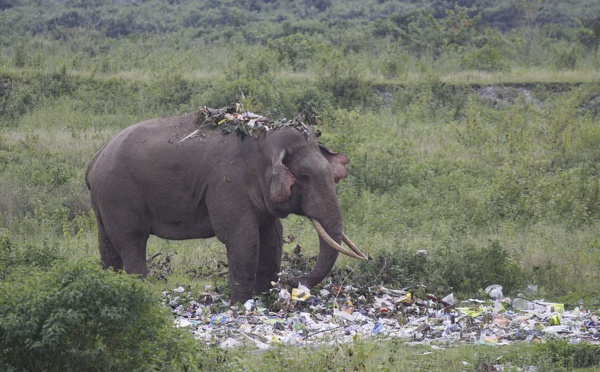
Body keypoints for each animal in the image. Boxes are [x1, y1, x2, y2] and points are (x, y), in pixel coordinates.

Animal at [84, 106, 366, 304]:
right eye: (304, 177)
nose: (292, 280)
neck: (263, 138)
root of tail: (95, 159)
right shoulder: (228, 182)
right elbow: (242, 237)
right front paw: (241, 305)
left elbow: (273, 236)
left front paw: (263, 297)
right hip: (119, 193)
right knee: (132, 241)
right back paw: (141, 292)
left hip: (104, 200)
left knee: (107, 244)